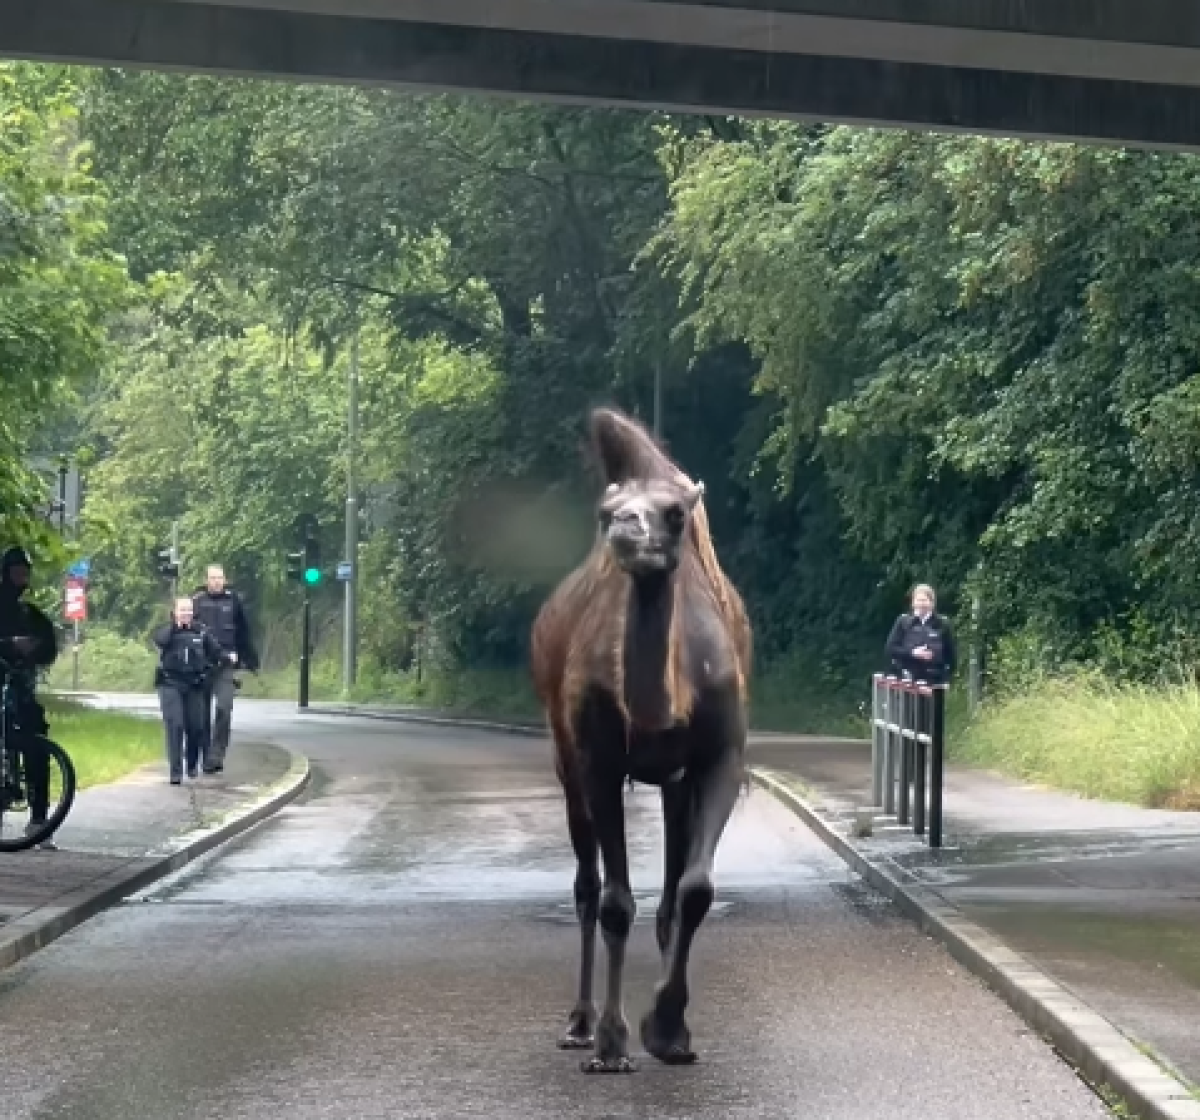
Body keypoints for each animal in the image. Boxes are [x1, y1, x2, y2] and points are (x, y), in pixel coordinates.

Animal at [528, 405, 744, 1070]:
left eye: (675, 513)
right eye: (606, 511)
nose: (626, 528)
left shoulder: (720, 755)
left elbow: (695, 890)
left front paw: (669, 1029)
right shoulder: (596, 758)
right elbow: (615, 901)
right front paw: (611, 1040)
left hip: (674, 781)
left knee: (671, 887)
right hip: (564, 757)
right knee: (586, 884)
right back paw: (578, 1022)